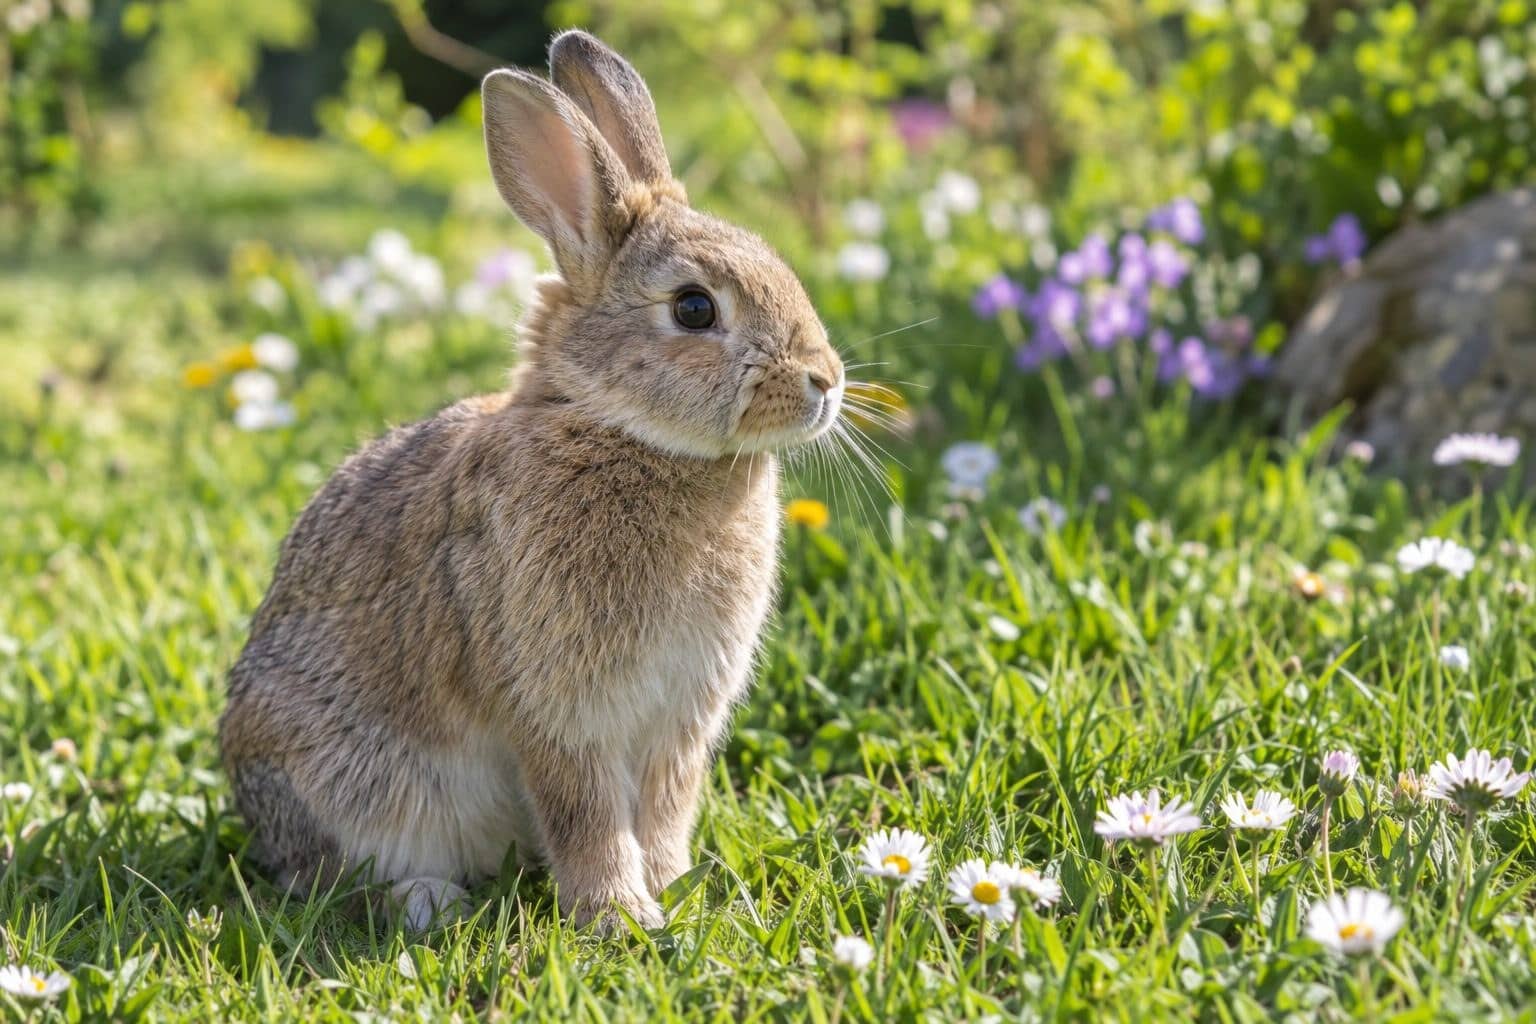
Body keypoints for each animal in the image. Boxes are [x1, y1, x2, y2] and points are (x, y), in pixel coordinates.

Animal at [218, 29, 845, 932]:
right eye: (694, 309)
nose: (826, 381)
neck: (625, 431)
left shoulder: (678, 722)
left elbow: (665, 809)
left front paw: (677, 892)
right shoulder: (557, 706)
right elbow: (583, 810)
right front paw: (620, 917)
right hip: (344, 774)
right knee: (330, 875)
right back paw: (428, 899)